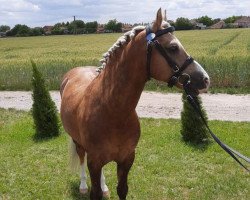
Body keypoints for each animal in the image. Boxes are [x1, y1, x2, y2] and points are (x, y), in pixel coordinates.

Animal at [60, 8, 209, 200]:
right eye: (173, 47)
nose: (205, 79)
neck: (112, 111)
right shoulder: (94, 161)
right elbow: (95, 192)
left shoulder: (127, 159)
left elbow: (122, 189)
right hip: (79, 143)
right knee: (80, 157)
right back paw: (83, 186)